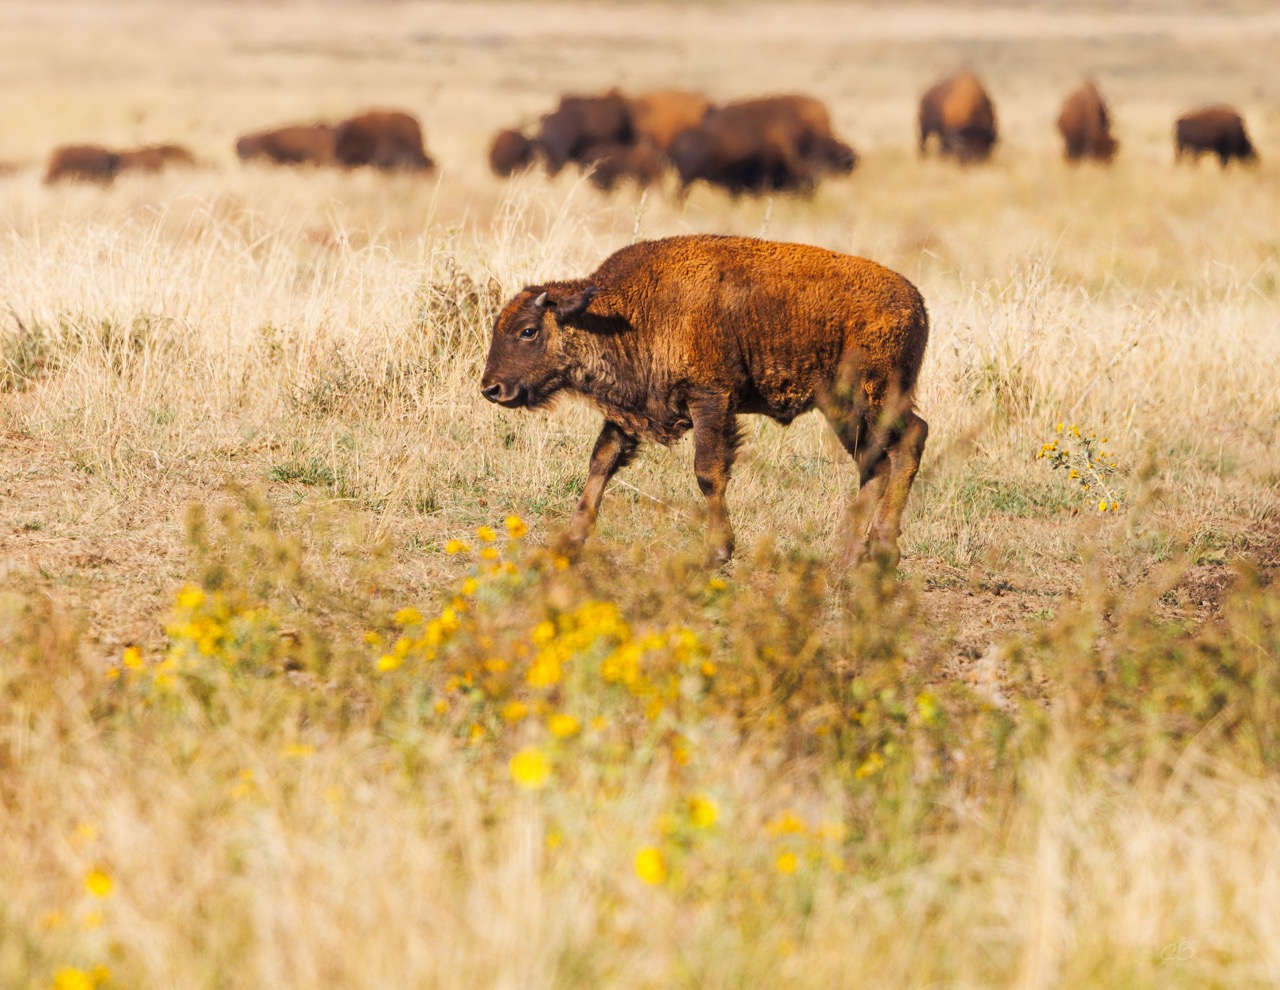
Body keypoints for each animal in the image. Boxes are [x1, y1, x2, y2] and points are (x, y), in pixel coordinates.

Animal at [480, 234, 929, 569]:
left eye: (528, 331)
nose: (491, 389)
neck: (623, 312)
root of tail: (917, 304)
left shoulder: (710, 400)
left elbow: (708, 473)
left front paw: (718, 551)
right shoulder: (629, 412)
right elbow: (601, 461)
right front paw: (571, 540)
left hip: (875, 398)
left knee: (910, 440)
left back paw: (883, 548)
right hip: (841, 409)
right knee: (874, 463)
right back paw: (850, 555)